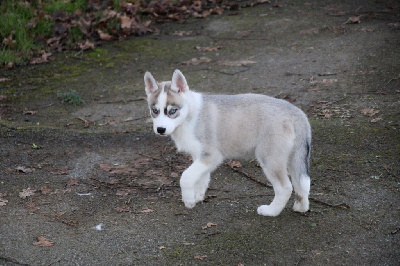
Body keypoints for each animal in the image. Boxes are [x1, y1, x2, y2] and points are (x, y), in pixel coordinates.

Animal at [145, 69, 312, 216]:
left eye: (172, 111)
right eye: (155, 111)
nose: (160, 129)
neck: (189, 115)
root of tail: (296, 112)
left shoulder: (212, 155)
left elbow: (186, 177)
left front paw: (188, 200)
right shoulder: (200, 156)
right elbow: (200, 177)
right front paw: (197, 196)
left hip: (269, 158)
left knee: (285, 187)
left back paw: (271, 211)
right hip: (294, 157)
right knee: (301, 183)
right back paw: (301, 207)